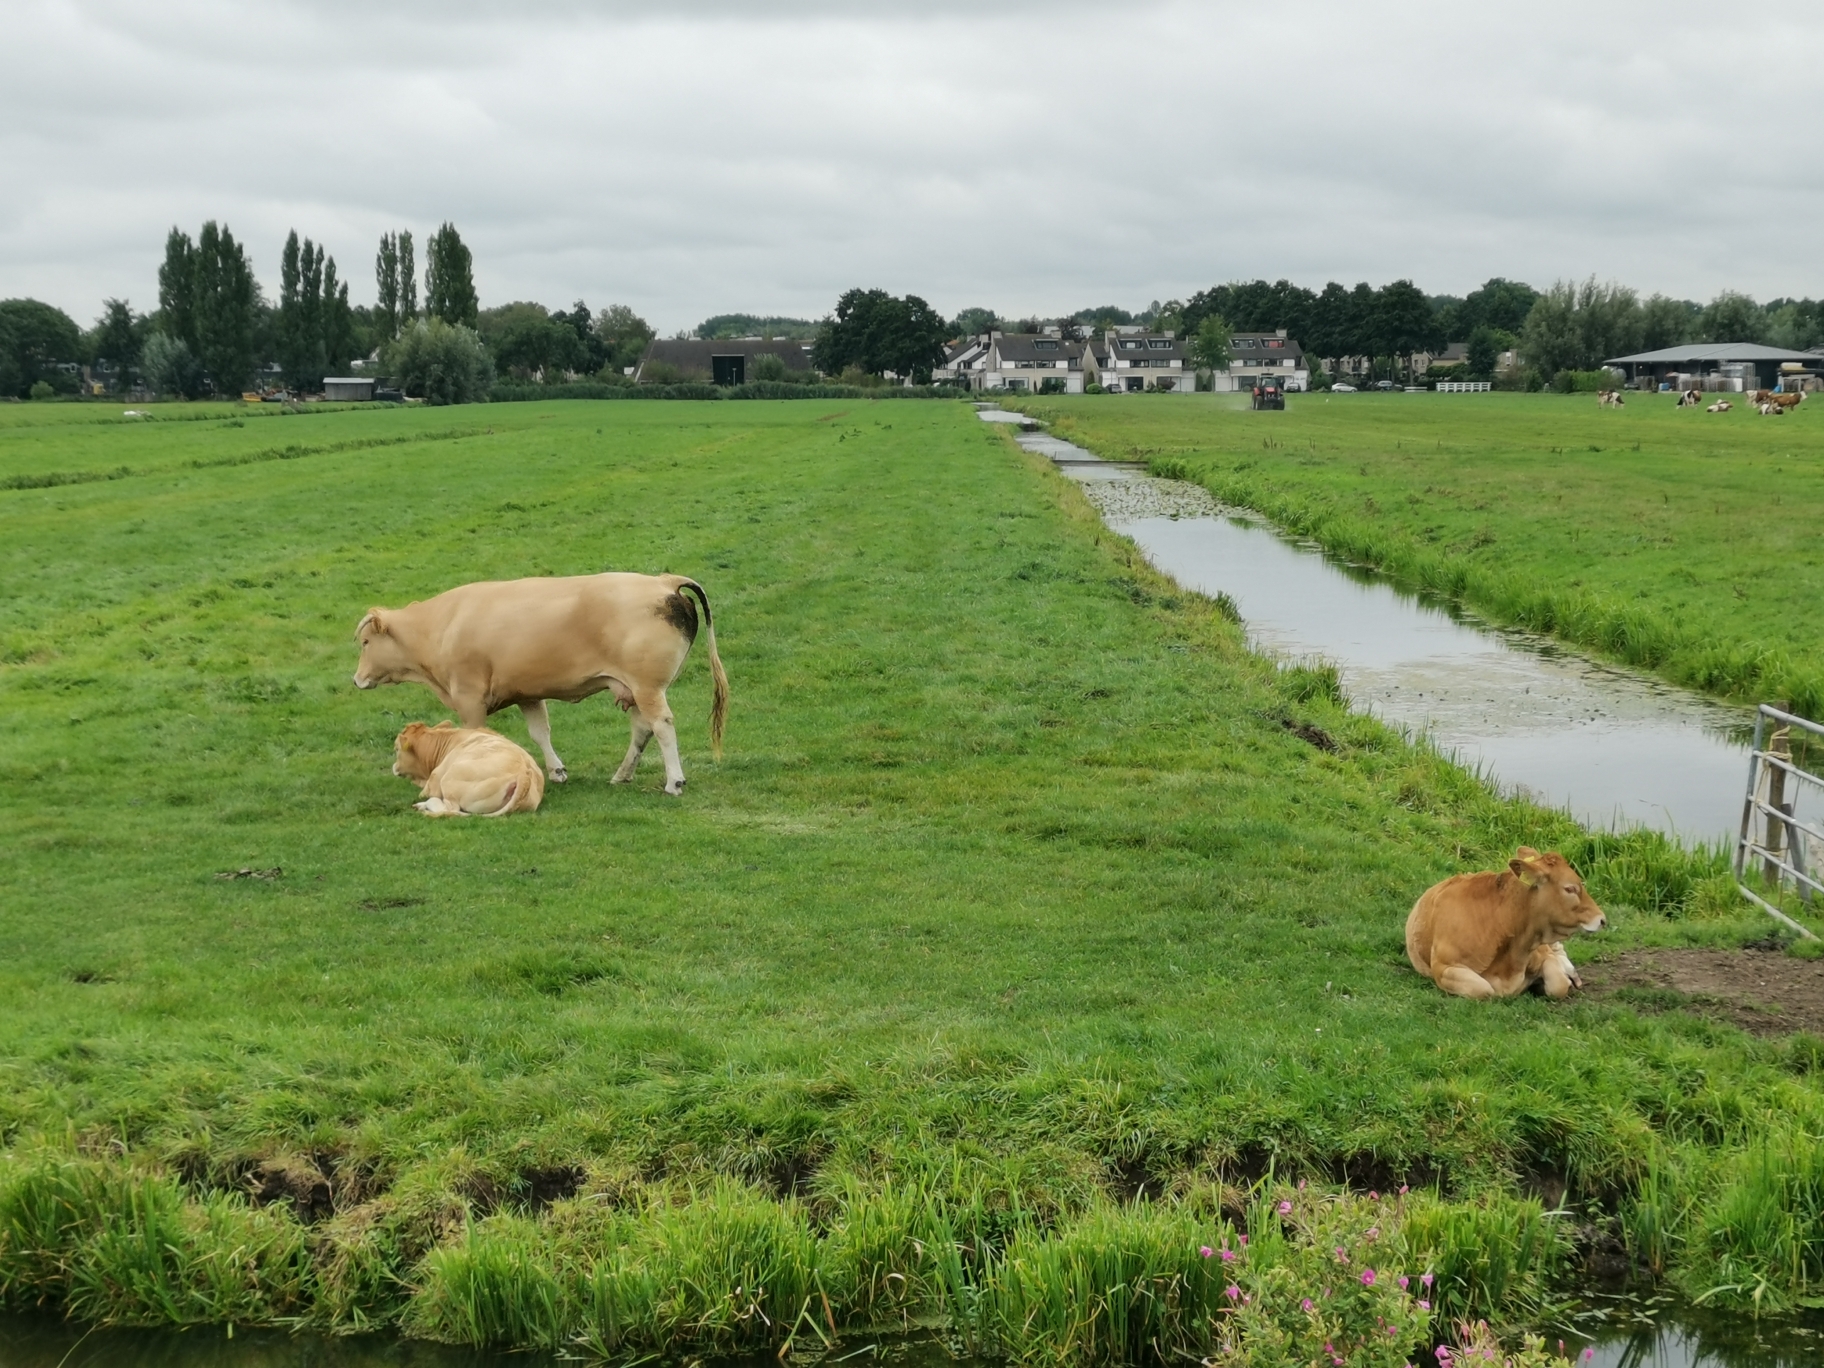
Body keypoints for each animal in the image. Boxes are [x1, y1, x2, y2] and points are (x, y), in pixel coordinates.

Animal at [355, 572, 725, 798]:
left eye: (365, 642)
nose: (356, 679)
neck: (442, 625)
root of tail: (665, 581)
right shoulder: (527, 694)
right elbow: (540, 732)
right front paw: (557, 770)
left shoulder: (469, 698)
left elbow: (474, 736)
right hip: (633, 689)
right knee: (642, 730)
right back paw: (622, 775)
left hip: (647, 688)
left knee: (661, 727)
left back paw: (674, 781)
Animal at [395, 722, 543, 820]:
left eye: (396, 749)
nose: (394, 767)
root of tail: (523, 773)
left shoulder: (433, 783)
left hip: (449, 778)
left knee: (449, 808)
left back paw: (421, 806)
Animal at [1400, 842, 1605, 999]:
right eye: (1570, 889)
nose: (1602, 919)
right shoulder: (1444, 967)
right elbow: (1484, 989)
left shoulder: (1541, 954)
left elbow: (1559, 985)